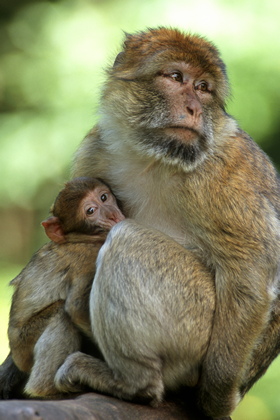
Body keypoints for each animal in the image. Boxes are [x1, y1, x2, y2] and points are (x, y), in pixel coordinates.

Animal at [5, 176, 123, 398]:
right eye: (91, 211)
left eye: (104, 197)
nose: (112, 214)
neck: (82, 238)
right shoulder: (90, 259)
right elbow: (76, 309)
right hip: (24, 344)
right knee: (61, 312)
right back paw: (45, 389)